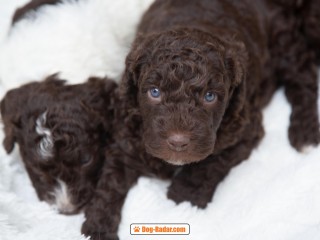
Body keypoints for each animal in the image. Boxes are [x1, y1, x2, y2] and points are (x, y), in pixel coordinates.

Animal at [81, 0, 318, 238]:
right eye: (154, 92)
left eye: (209, 96)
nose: (178, 142)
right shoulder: (127, 132)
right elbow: (112, 178)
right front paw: (98, 225)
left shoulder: (245, 129)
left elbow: (210, 163)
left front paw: (185, 195)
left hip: (284, 42)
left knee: (303, 79)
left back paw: (305, 133)